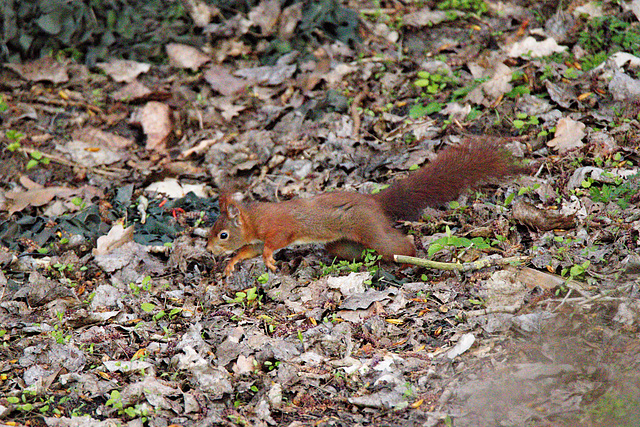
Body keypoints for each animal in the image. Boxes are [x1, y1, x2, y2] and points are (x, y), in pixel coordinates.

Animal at [208, 139, 524, 276]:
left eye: (222, 234)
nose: (209, 249)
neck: (255, 219)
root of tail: (374, 202)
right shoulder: (253, 238)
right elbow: (247, 251)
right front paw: (232, 262)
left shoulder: (279, 228)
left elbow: (272, 243)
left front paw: (268, 259)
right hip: (343, 243)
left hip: (370, 229)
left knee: (400, 244)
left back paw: (408, 261)